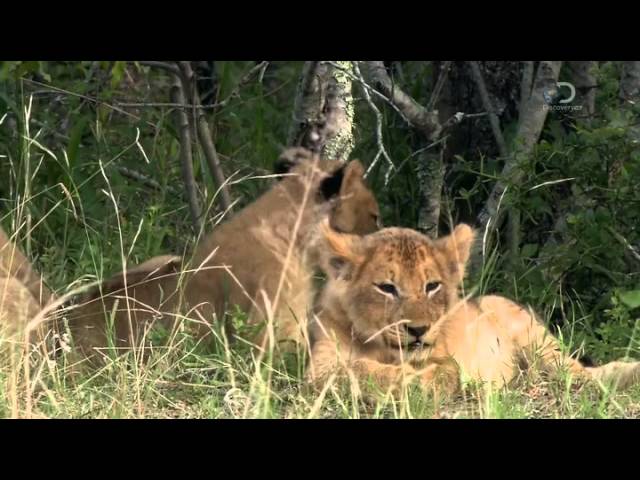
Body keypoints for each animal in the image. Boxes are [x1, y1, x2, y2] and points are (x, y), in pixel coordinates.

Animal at [307, 222, 640, 394]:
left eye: (432, 286)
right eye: (387, 288)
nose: (418, 330)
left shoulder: (442, 358)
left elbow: (438, 372)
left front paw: (426, 379)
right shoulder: (317, 370)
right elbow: (355, 369)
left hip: (527, 331)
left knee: (576, 372)